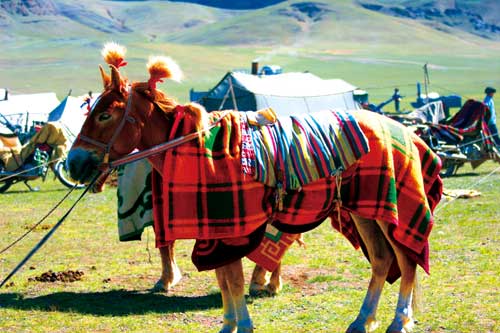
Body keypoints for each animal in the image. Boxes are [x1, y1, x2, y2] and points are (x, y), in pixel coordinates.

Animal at [67, 48, 442, 332]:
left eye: (104, 115)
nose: (74, 163)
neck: (198, 150)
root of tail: (408, 133)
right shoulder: (216, 230)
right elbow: (224, 279)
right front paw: (229, 323)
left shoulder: (230, 230)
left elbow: (231, 279)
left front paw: (241, 325)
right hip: (365, 209)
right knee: (382, 261)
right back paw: (362, 320)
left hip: (392, 211)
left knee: (407, 261)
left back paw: (398, 321)